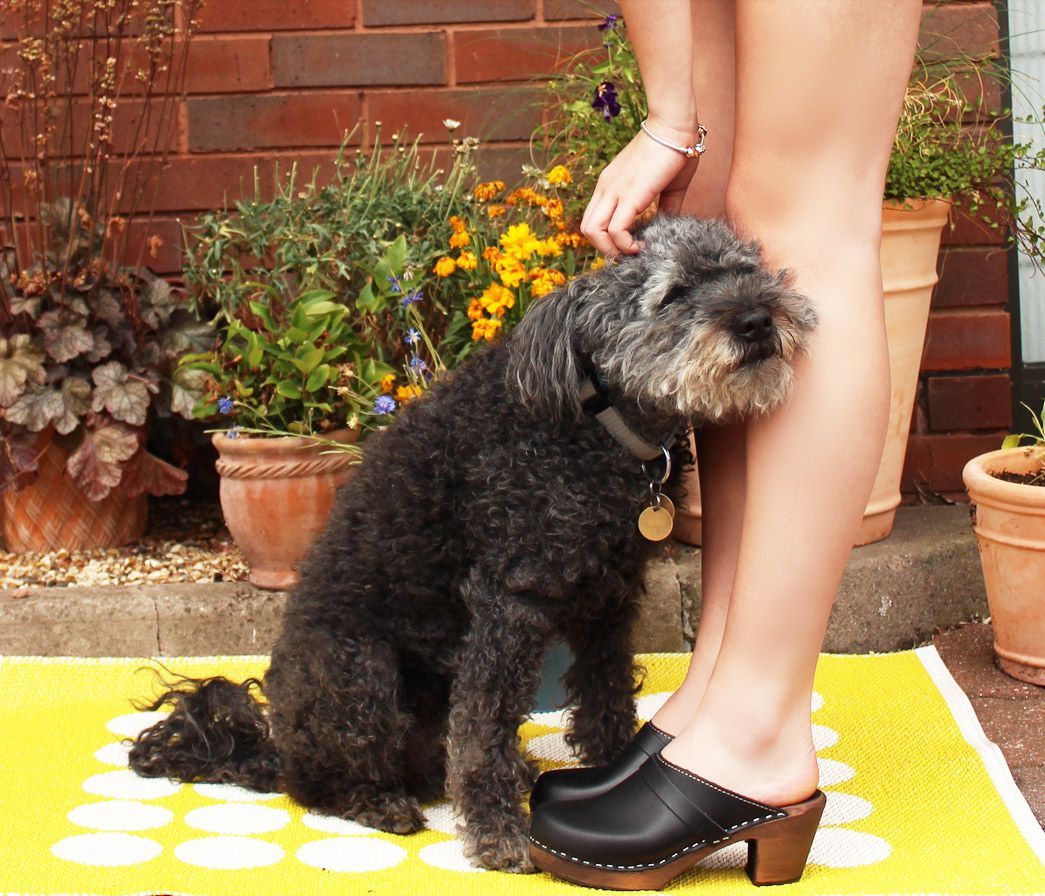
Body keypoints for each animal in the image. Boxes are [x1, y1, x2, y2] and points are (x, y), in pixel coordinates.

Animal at [128, 215, 815, 865]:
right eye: (672, 295)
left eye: (745, 269)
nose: (757, 318)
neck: (597, 424)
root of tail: (270, 747)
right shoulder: (509, 602)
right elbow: (484, 725)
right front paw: (497, 833)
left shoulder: (608, 598)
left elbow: (607, 693)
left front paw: (616, 772)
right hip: (359, 670)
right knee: (321, 780)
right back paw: (378, 802)